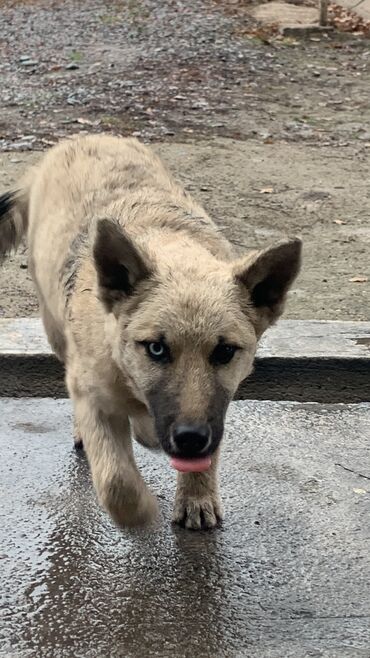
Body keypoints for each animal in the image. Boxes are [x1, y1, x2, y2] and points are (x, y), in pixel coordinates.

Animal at [0, 133, 302, 528]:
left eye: (224, 352)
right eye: (156, 348)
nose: (190, 439)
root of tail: (84, 137)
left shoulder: (216, 409)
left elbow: (205, 446)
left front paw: (197, 496)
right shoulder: (93, 395)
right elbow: (116, 482)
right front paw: (140, 513)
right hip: (55, 330)